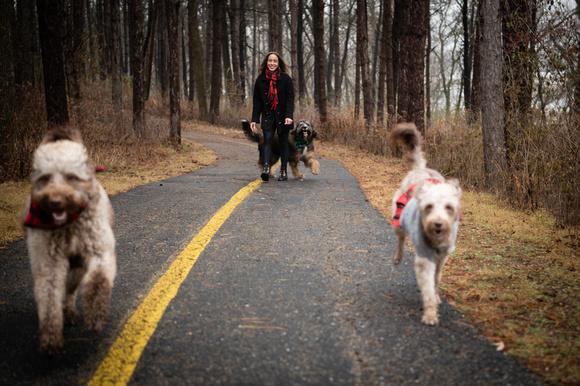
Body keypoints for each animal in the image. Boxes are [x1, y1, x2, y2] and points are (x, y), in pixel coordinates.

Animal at [21, 126, 116, 356]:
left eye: (71, 177)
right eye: (45, 178)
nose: (55, 201)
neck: (68, 225)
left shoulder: (99, 253)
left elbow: (98, 282)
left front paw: (95, 318)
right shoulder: (48, 263)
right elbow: (49, 299)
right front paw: (50, 338)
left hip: (78, 266)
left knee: (71, 288)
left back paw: (70, 311)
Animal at [390, 123, 462, 326]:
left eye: (448, 207)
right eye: (429, 206)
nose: (438, 224)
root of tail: (421, 170)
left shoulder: (443, 256)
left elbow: (436, 280)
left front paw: (437, 298)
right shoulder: (424, 259)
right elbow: (428, 286)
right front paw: (430, 314)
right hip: (398, 217)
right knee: (400, 239)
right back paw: (397, 256)